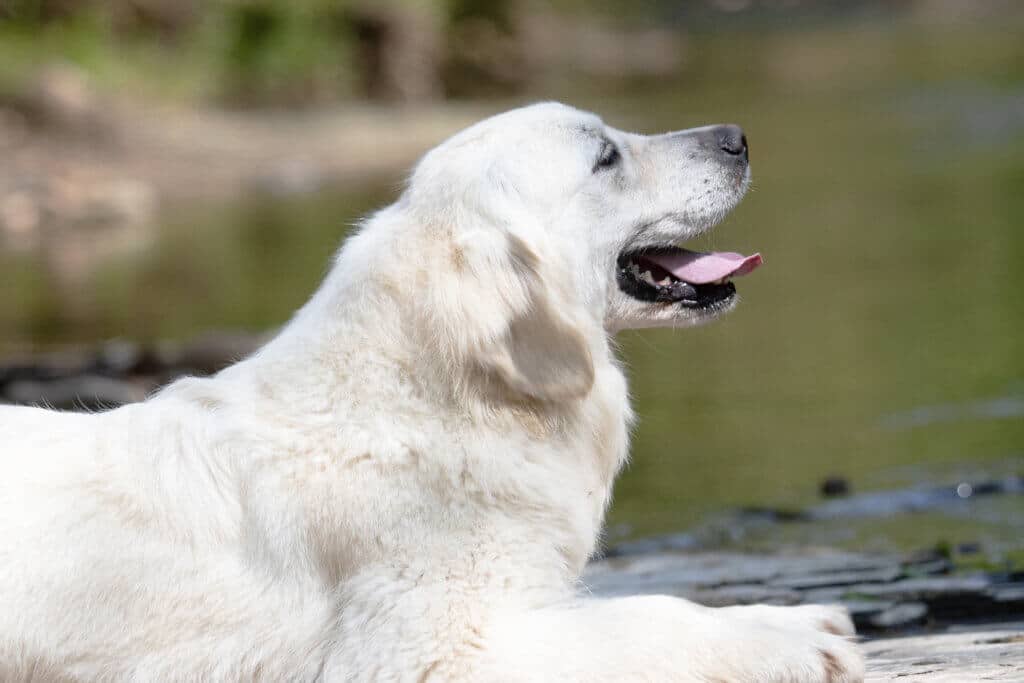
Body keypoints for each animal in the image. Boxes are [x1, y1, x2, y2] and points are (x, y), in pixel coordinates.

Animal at [0, 102, 864, 683]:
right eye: (605, 157)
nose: (738, 136)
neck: (461, 400)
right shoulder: (435, 650)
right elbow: (646, 614)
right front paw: (796, 637)